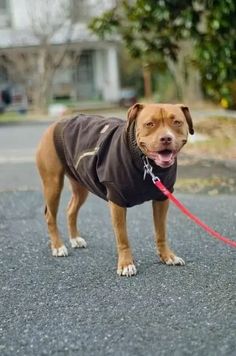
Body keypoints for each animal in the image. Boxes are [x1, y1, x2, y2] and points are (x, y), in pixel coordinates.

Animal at [35, 103, 194, 276]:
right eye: (150, 124)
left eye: (177, 122)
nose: (166, 138)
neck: (145, 162)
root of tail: (57, 123)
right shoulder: (117, 201)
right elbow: (122, 237)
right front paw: (126, 264)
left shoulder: (161, 199)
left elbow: (161, 232)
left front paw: (167, 256)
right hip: (53, 184)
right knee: (50, 216)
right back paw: (58, 246)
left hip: (81, 185)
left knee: (71, 209)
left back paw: (75, 239)